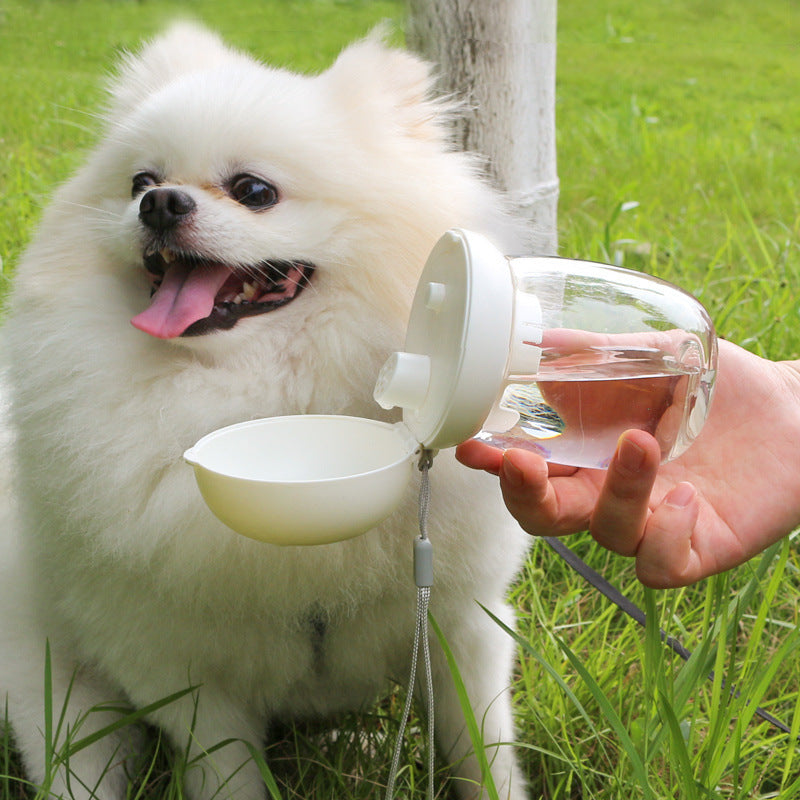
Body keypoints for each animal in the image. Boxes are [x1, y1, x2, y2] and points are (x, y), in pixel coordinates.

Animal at [4, 23, 536, 800]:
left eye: (255, 192)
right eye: (139, 182)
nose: (161, 203)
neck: (261, 395)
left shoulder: (462, 623)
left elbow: (482, 752)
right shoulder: (177, 670)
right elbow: (229, 772)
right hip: (60, 698)